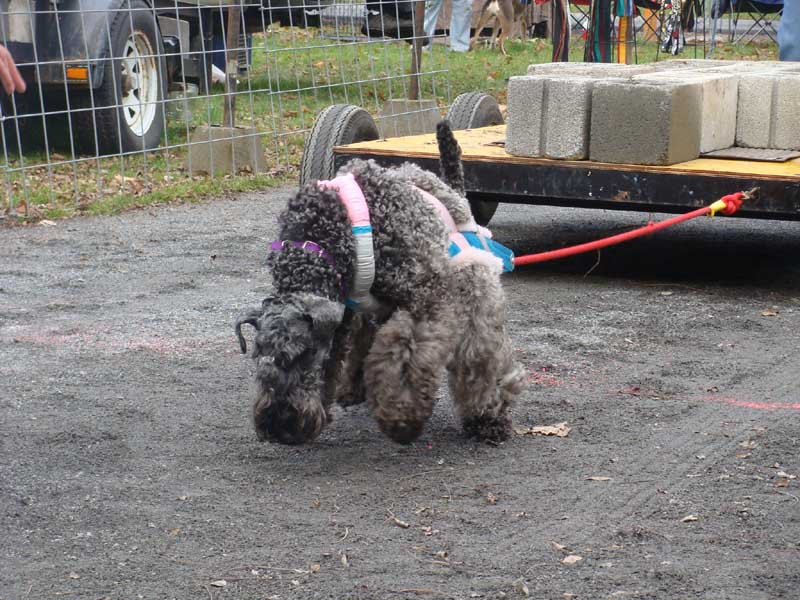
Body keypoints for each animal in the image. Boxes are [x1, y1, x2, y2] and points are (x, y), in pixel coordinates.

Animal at [234, 120, 528, 446]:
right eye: (259, 354)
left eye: (302, 353)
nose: (279, 425)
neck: (327, 233)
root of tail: (453, 191)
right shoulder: (345, 311)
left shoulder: (427, 300)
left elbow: (407, 356)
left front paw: (402, 417)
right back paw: (354, 388)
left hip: (472, 282)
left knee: (481, 351)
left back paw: (487, 417)